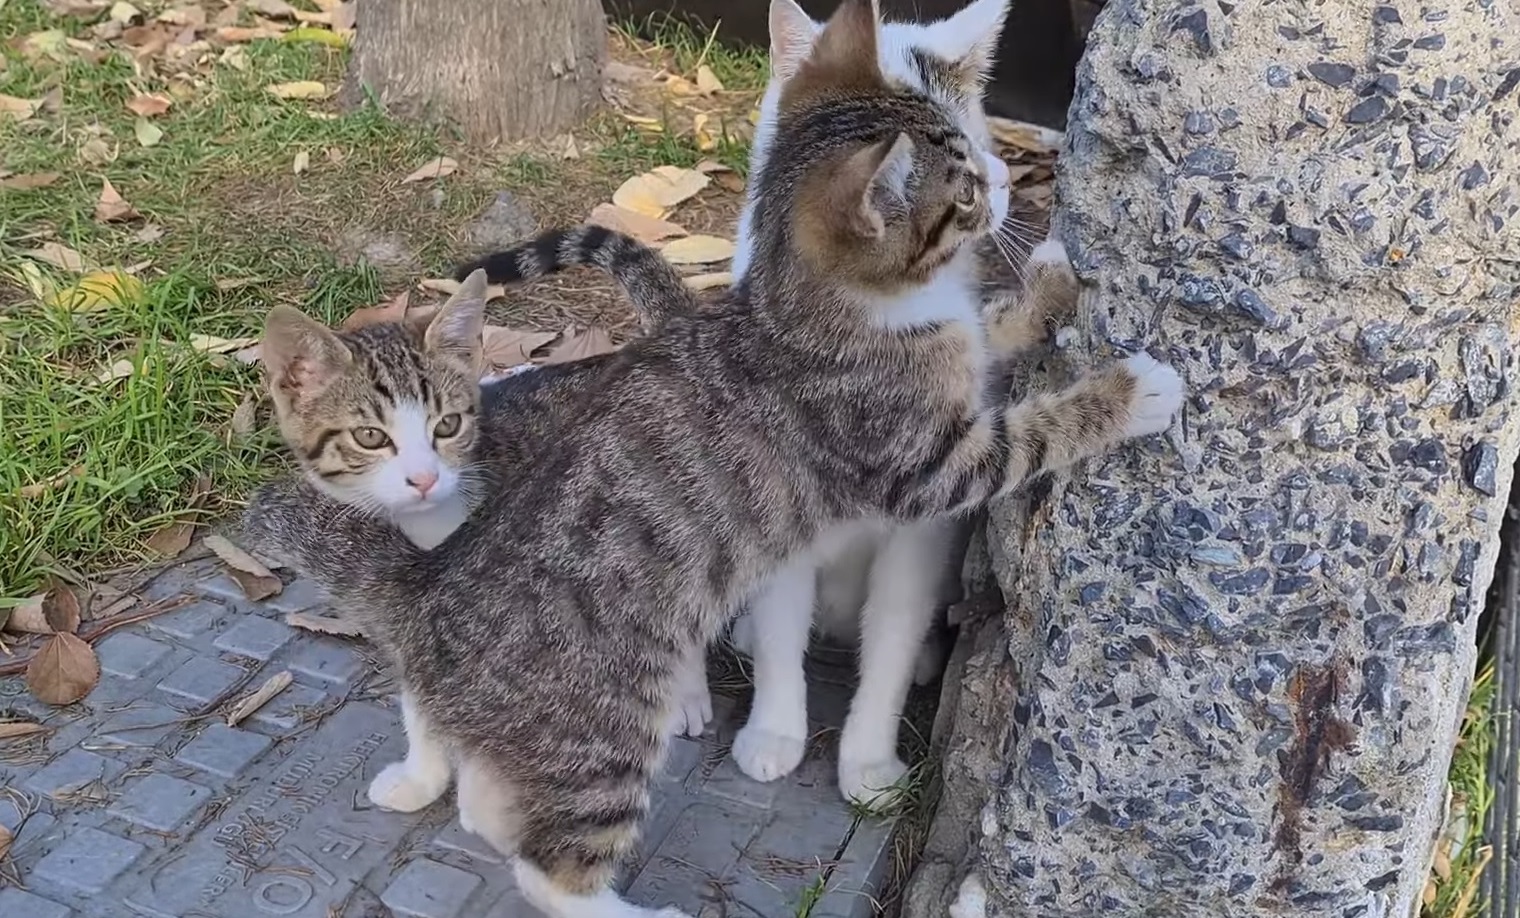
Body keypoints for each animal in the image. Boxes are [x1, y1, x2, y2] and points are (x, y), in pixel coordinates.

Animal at [240, 3, 1185, 911]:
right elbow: (1029, 433)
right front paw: (1131, 393)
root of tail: (432, 598)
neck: (806, 307)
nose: (1003, 181)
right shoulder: (918, 461)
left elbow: (989, 343)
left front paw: (1047, 284)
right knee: (547, 865)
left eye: (974, 144)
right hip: (606, 726)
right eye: (961, 187)